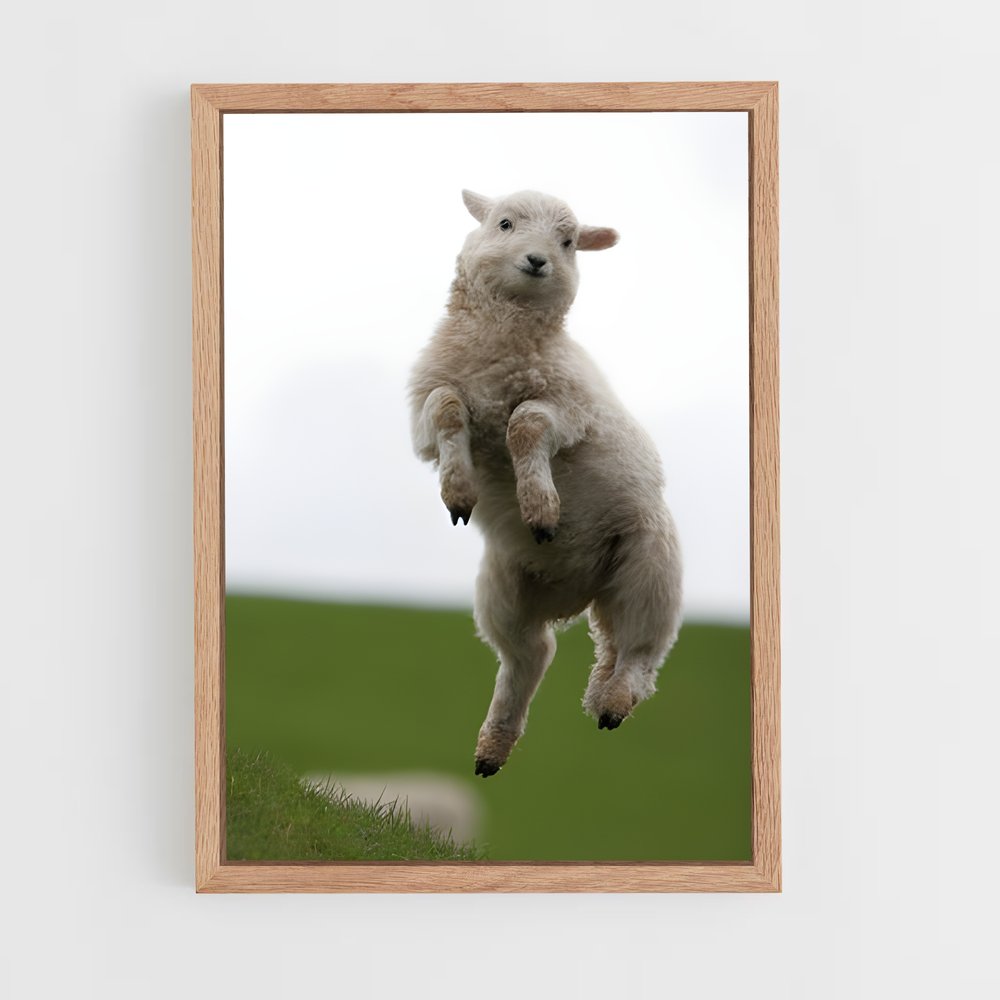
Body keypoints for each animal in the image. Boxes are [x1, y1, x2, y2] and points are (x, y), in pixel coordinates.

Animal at [409, 189, 682, 777]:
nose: (538, 261)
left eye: (569, 241)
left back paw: (613, 701)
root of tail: (576, 592)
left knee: (641, 651)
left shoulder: (572, 412)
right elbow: (446, 409)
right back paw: (493, 747)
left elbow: (526, 423)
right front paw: (459, 492)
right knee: (529, 656)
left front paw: (540, 505)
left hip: (649, 568)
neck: (499, 346)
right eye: (504, 224)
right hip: (504, 591)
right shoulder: (426, 415)